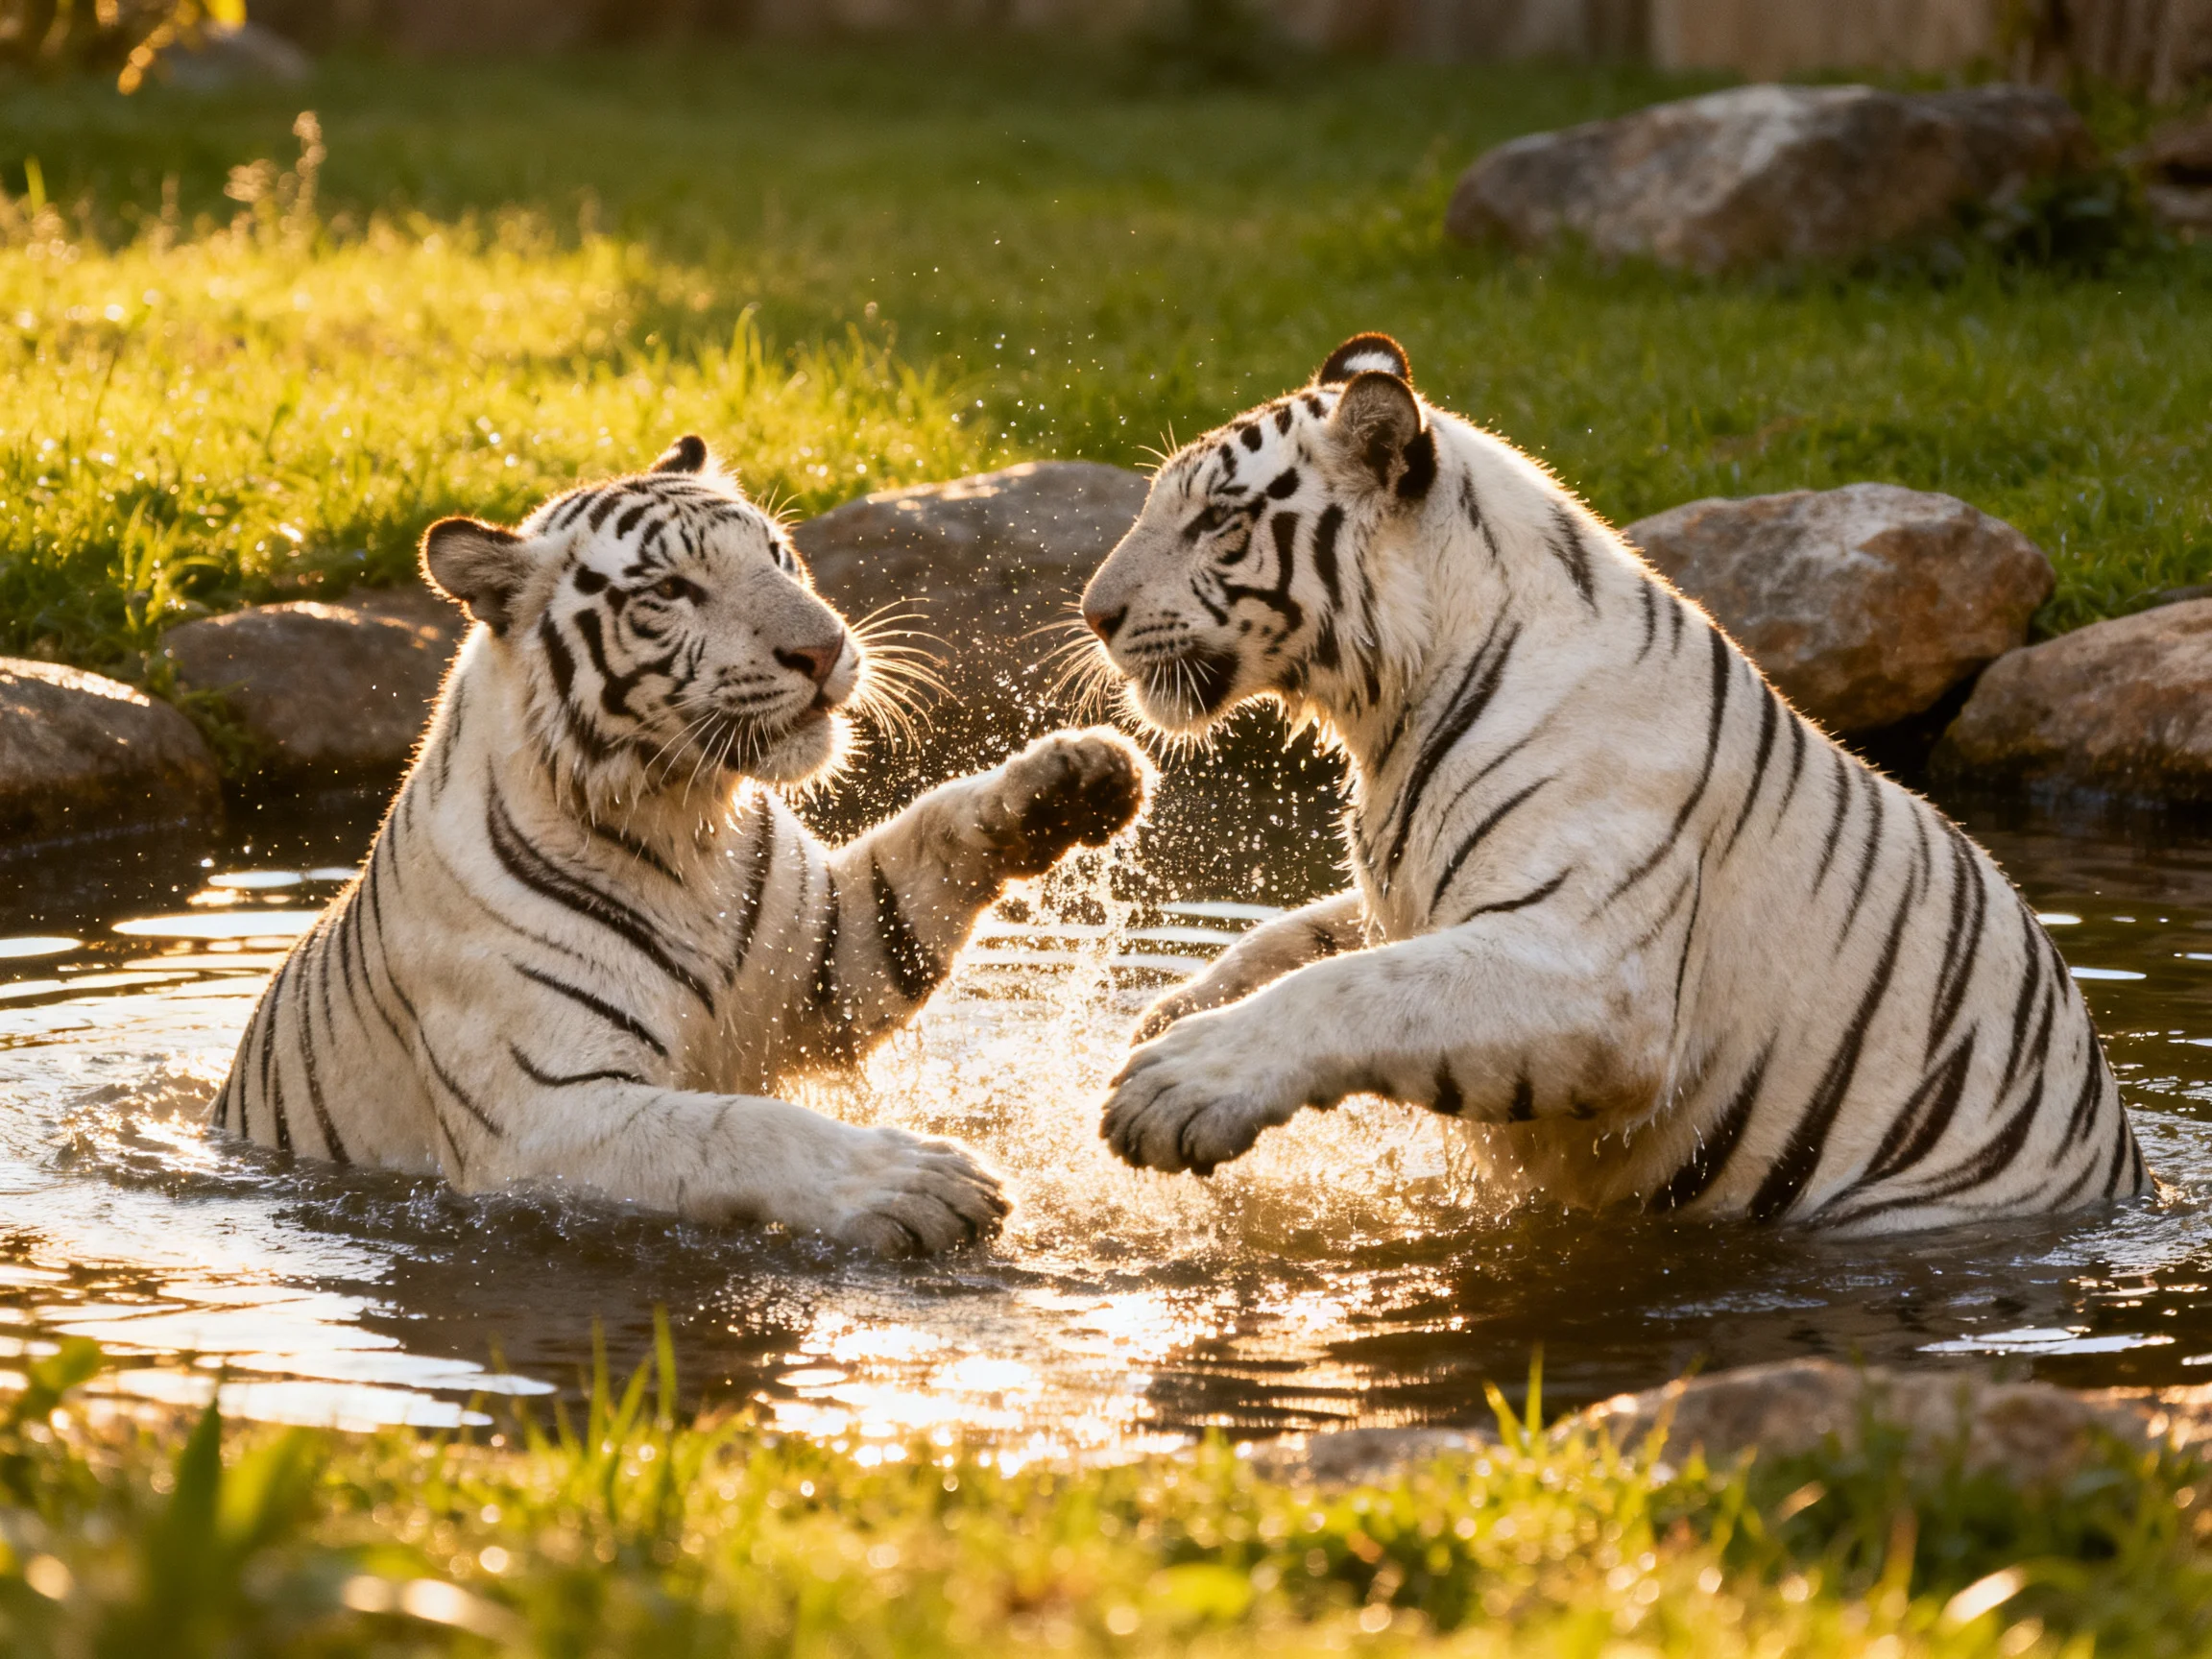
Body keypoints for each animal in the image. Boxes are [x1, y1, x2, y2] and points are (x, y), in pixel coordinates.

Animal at [210, 436, 1148, 1255]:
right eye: (671, 589)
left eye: (777, 555)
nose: (826, 649)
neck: (686, 824)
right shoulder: (543, 1114)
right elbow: (740, 1129)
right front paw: (916, 1181)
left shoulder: (832, 968)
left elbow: (924, 843)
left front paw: (1074, 776)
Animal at [1075, 334, 2148, 1233]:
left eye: (1217, 520)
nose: (1095, 613)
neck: (1390, 716)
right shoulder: (1414, 896)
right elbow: (1295, 937)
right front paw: (1168, 1010)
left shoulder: (1593, 971)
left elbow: (1357, 987)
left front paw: (1177, 1083)